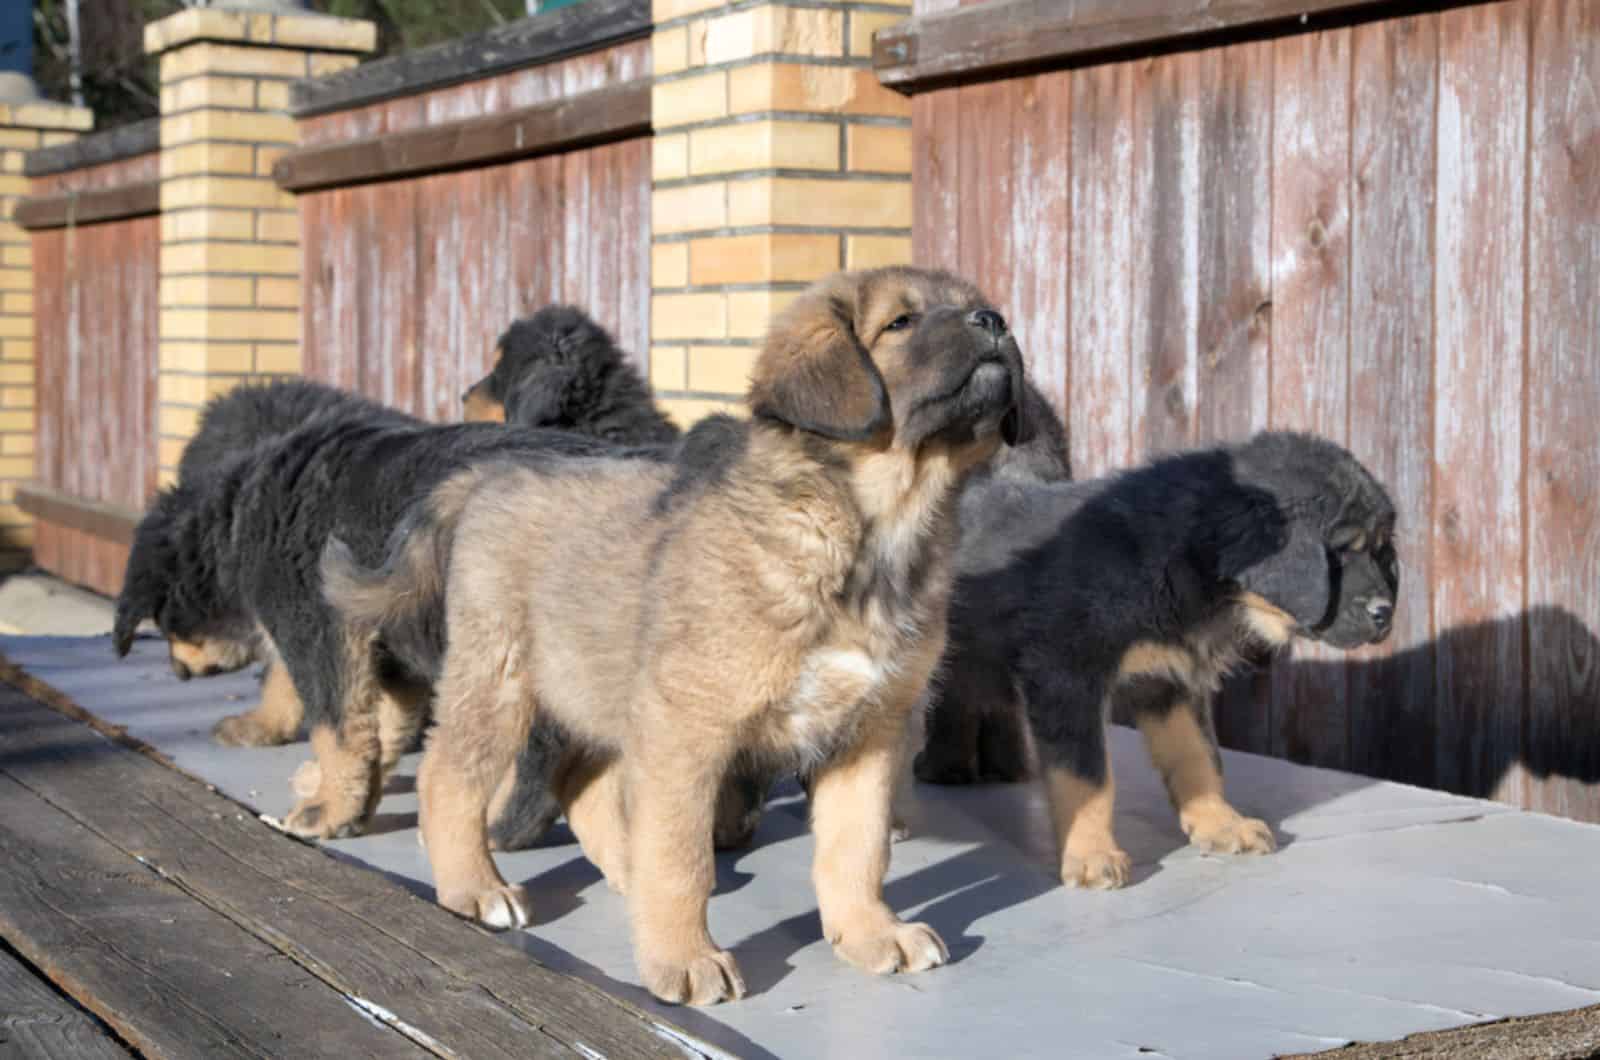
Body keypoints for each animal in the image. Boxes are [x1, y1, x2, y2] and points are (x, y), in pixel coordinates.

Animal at [324, 265, 1024, 1005]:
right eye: (900, 323)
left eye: (976, 307)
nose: (995, 321)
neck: (873, 533)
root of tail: (485, 477)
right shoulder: (687, 727)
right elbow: (684, 857)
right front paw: (686, 958)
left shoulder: (869, 731)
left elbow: (858, 849)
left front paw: (869, 934)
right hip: (501, 679)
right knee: (448, 777)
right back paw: (474, 888)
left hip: (590, 676)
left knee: (581, 784)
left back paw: (624, 875)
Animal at [921, 432, 1395, 890]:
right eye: (1340, 551)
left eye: (1380, 550)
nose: (1386, 613)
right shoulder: (1067, 674)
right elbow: (1087, 776)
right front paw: (1091, 855)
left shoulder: (1167, 680)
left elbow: (1199, 756)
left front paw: (1221, 824)